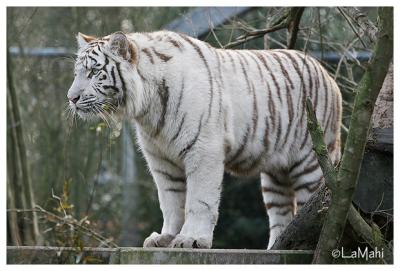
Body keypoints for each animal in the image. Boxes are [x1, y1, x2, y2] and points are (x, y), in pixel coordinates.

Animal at [68, 30, 340, 250]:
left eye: (93, 72)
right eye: (77, 73)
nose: (71, 98)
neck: (149, 107)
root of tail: (327, 75)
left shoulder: (203, 150)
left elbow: (199, 200)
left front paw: (191, 239)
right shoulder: (161, 160)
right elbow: (170, 200)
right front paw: (166, 237)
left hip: (311, 162)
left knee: (311, 207)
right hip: (275, 173)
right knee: (281, 214)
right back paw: (276, 247)